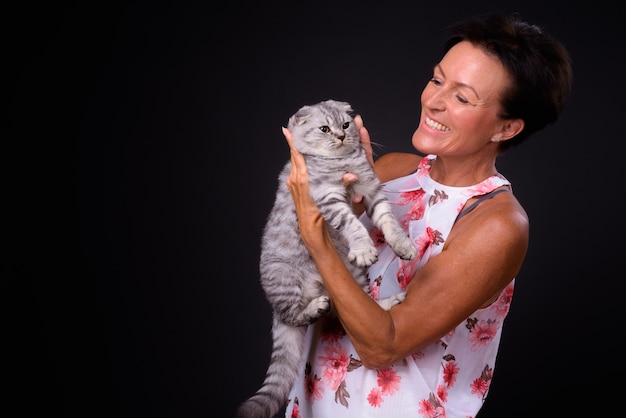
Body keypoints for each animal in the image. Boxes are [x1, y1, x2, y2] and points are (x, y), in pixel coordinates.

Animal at [234, 99, 414, 416]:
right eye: (324, 129)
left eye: (345, 125)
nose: (341, 137)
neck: (341, 163)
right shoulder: (327, 197)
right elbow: (352, 224)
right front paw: (364, 247)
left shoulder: (370, 189)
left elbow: (389, 220)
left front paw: (402, 244)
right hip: (285, 278)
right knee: (295, 315)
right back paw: (315, 305)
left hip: (351, 277)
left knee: (355, 312)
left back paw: (388, 302)